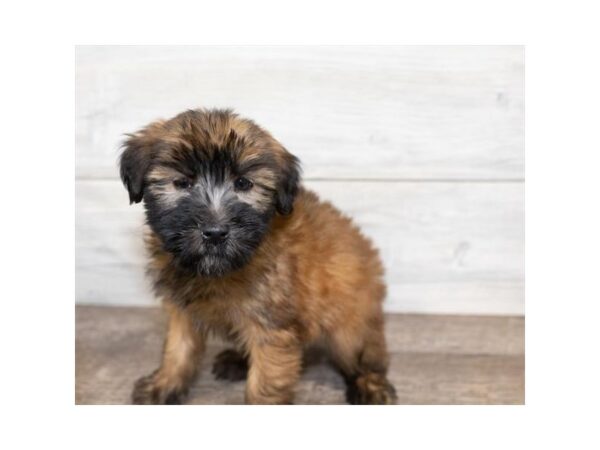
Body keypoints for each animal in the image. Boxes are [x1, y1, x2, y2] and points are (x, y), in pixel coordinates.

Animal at [119, 108, 396, 404]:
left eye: (243, 183)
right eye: (182, 183)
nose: (215, 233)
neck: (218, 270)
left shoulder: (272, 327)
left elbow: (265, 381)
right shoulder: (182, 311)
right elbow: (177, 349)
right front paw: (163, 385)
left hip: (349, 328)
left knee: (365, 358)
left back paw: (370, 385)